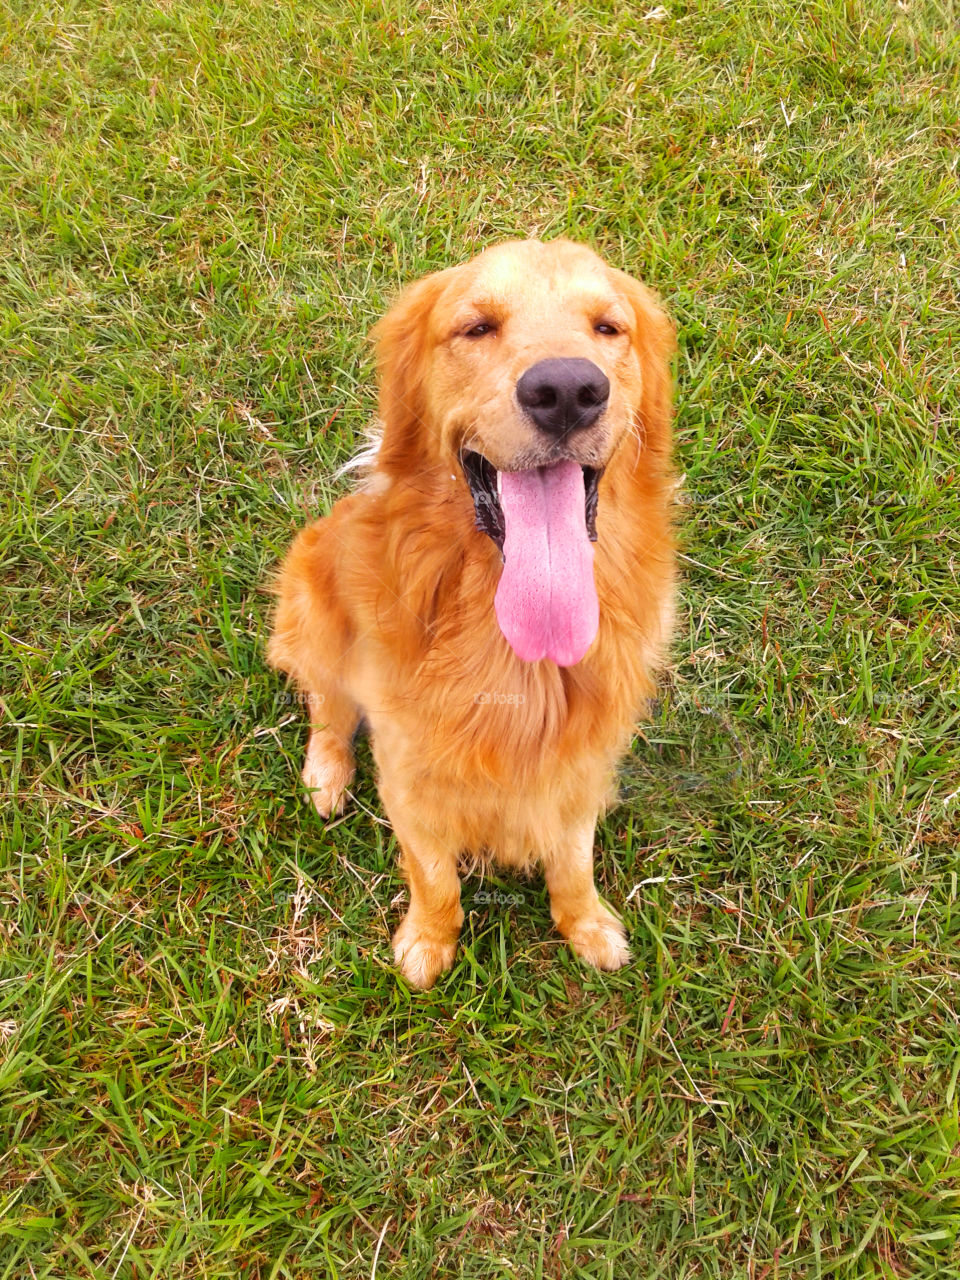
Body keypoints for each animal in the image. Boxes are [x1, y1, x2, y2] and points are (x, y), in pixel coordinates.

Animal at [267, 238, 680, 988]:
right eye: (477, 327)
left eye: (608, 328)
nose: (567, 391)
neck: (519, 660)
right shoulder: (409, 773)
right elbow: (435, 877)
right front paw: (428, 943)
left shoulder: (578, 769)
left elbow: (572, 860)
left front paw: (587, 926)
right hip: (312, 597)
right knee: (328, 706)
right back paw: (326, 775)